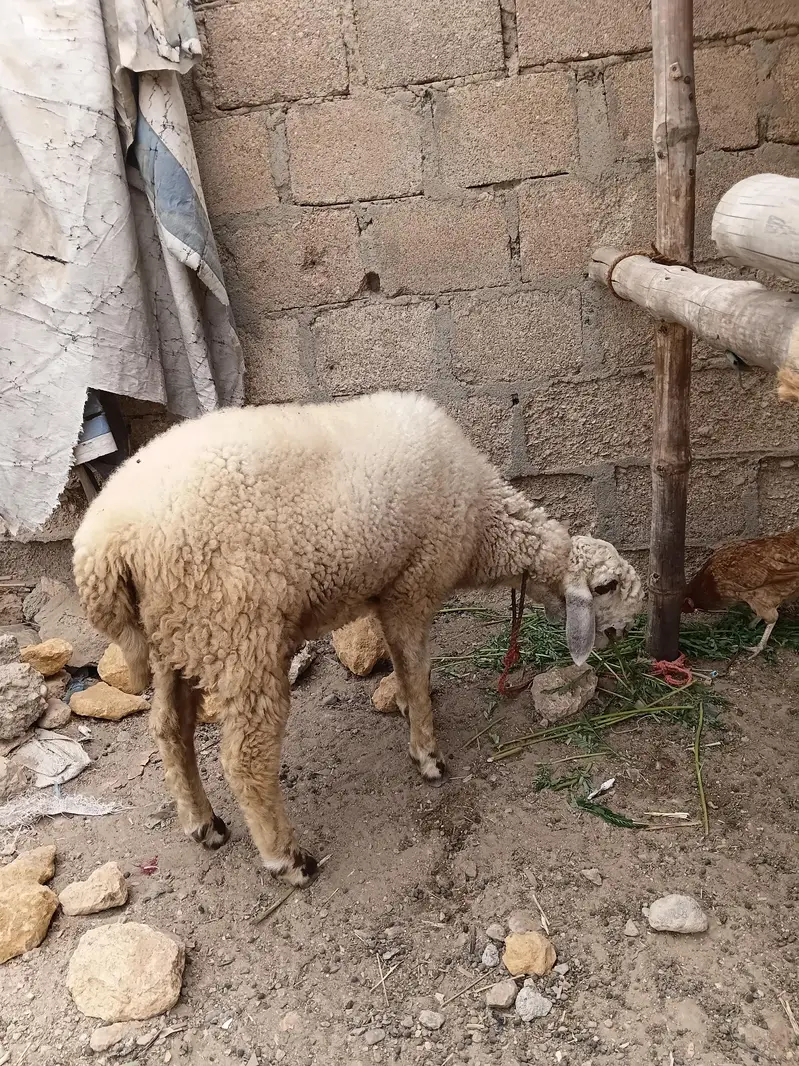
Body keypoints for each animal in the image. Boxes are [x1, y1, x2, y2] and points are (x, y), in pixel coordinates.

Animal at [73, 391, 643, 886]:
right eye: (608, 588)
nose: (623, 633)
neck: (484, 526)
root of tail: (104, 545)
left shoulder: (385, 590)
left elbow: (402, 664)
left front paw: (412, 712)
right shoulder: (414, 585)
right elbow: (414, 664)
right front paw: (428, 754)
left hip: (179, 634)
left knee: (170, 729)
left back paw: (202, 823)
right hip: (237, 635)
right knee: (244, 758)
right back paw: (288, 859)